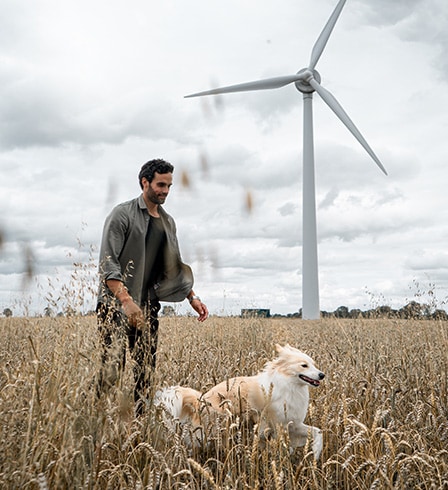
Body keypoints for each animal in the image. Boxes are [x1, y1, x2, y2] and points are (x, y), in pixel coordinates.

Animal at [155, 342, 326, 462]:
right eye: (304, 365)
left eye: (313, 364)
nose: (322, 375)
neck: (288, 384)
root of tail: (200, 401)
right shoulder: (278, 426)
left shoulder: (293, 424)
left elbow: (318, 432)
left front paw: (316, 453)